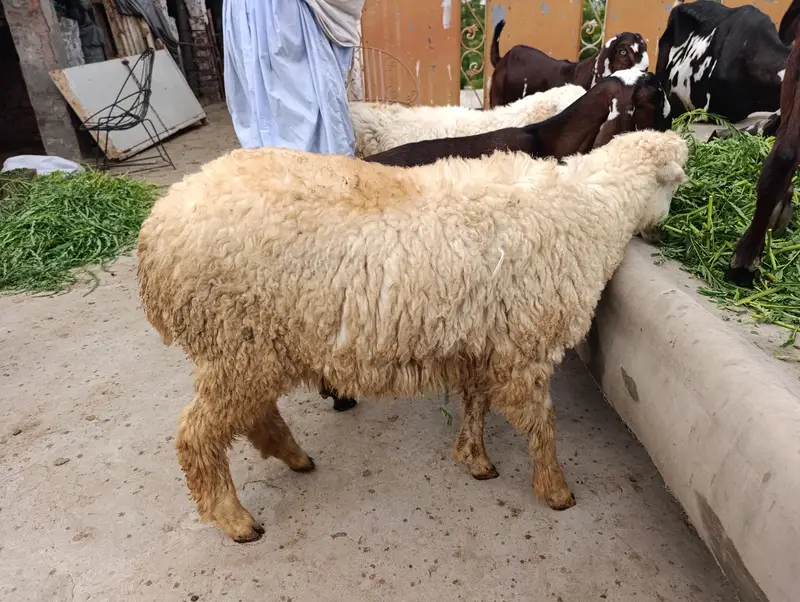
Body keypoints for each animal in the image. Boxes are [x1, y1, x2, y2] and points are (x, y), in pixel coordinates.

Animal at [136, 129, 688, 543]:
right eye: (673, 187)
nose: (663, 233)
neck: (591, 212)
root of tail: (154, 234)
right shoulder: (524, 346)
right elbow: (542, 424)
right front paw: (555, 491)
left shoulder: (483, 338)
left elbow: (476, 401)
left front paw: (475, 458)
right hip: (235, 339)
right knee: (197, 434)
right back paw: (235, 519)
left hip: (248, 345)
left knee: (250, 414)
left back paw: (292, 457)